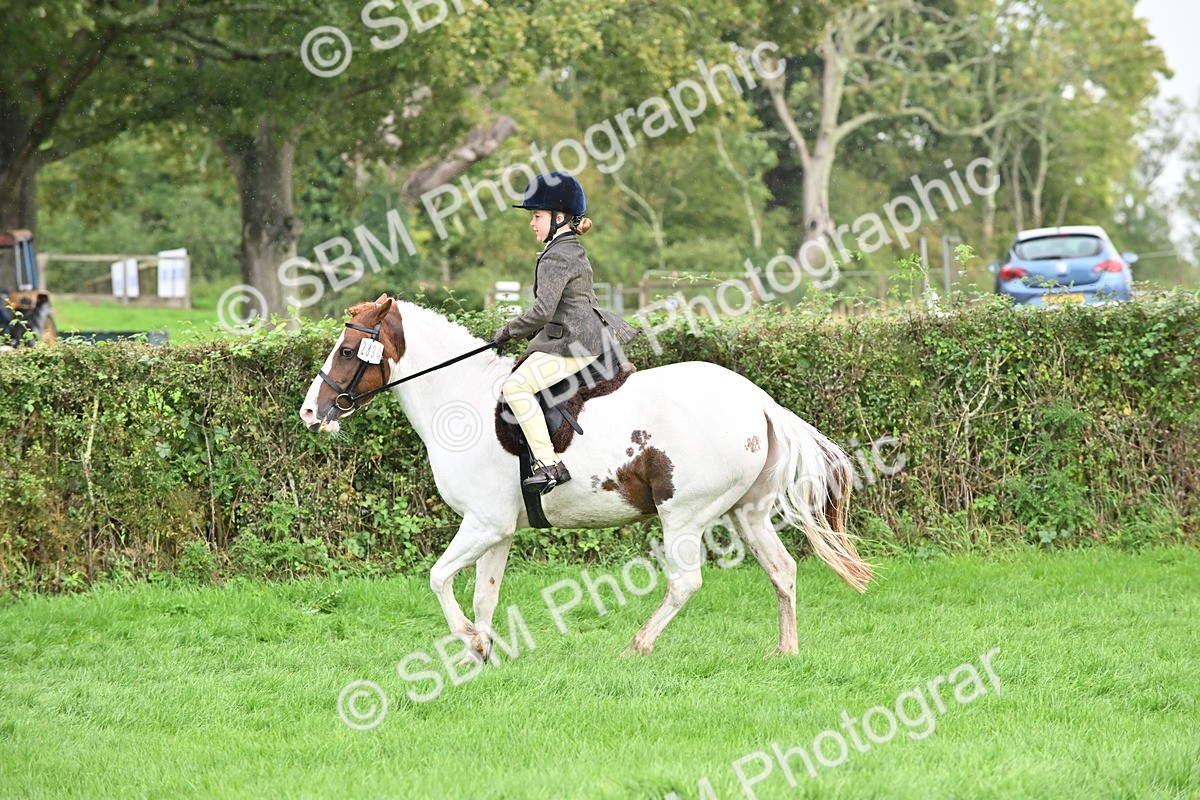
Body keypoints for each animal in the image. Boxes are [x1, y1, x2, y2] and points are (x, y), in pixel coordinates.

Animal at [299, 295, 872, 659]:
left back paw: (636, 647)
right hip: (747, 513)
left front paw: (472, 642)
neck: (459, 402)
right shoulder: (497, 531)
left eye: (347, 351)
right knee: (782, 570)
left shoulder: (483, 524)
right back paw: (786, 651)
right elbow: (485, 595)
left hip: (683, 514)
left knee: (685, 582)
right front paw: (479, 656)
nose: (310, 412)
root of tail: (759, 402)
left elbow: (439, 578)